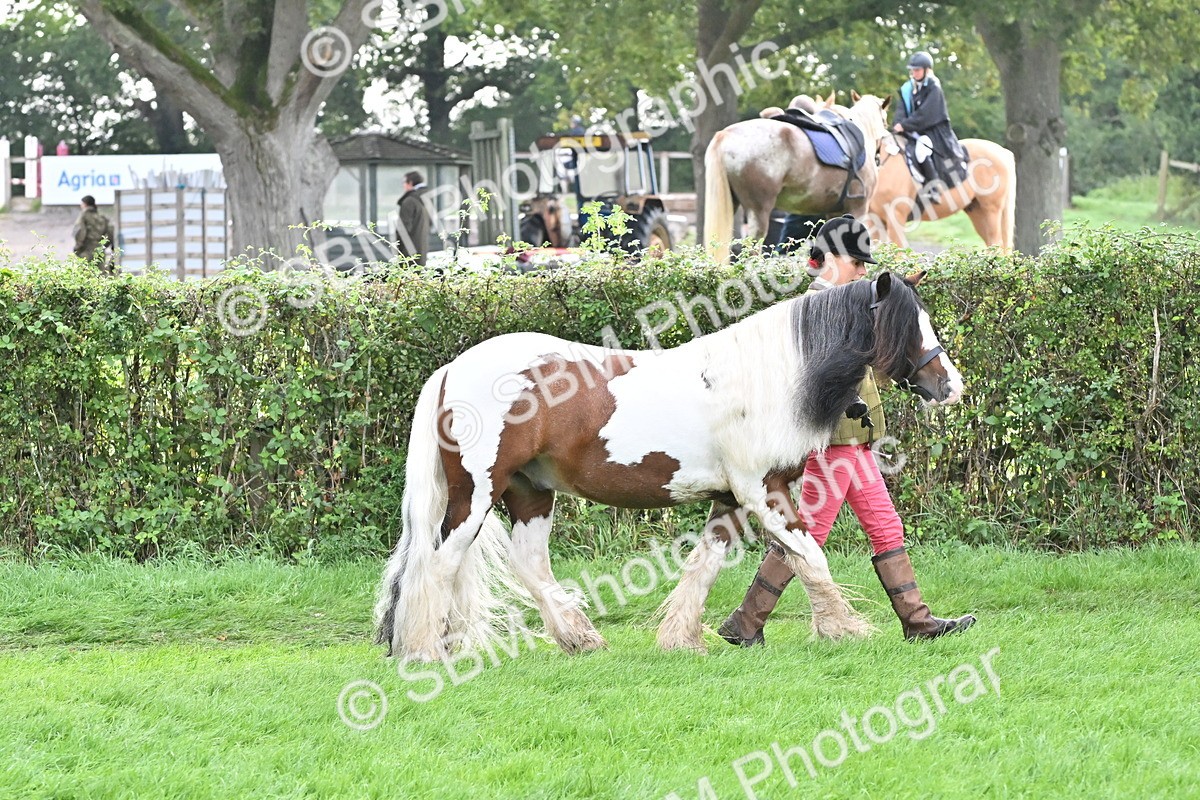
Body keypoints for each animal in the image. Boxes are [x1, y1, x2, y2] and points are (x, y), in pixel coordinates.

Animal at [373, 271, 965, 662]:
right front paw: (843, 629)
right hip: (476, 494)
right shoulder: (763, 492)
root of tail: (453, 368)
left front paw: (684, 638)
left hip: (529, 492)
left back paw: (578, 638)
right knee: (441, 564)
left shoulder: (730, 501)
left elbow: (706, 567)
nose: (951, 386)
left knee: (528, 565)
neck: (769, 377)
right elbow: (810, 557)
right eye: (910, 325)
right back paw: (427, 652)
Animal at [704, 92, 891, 264]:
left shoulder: (835, 213)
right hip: (758, 211)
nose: (879, 158)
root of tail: (725, 135)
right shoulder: (858, 208)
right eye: (885, 122)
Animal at [870, 134, 1015, 251]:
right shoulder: (874, 220)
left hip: (991, 210)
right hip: (977, 211)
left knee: (996, 243)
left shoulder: (896, 217)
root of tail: (1002, 151)